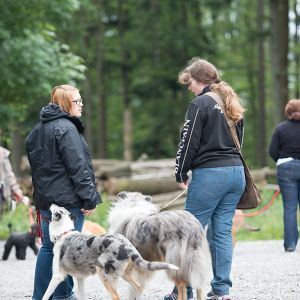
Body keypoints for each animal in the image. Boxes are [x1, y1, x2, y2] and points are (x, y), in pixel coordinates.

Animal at [42, 204, 178, 300]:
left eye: (57, 208)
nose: (52, 203)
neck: (63, 233)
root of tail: (126, 244)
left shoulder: (57, 276)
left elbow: (45, 294)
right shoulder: (80, 278)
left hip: (104, 275)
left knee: (116, 296)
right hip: (125, 274)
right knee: (138, 287)